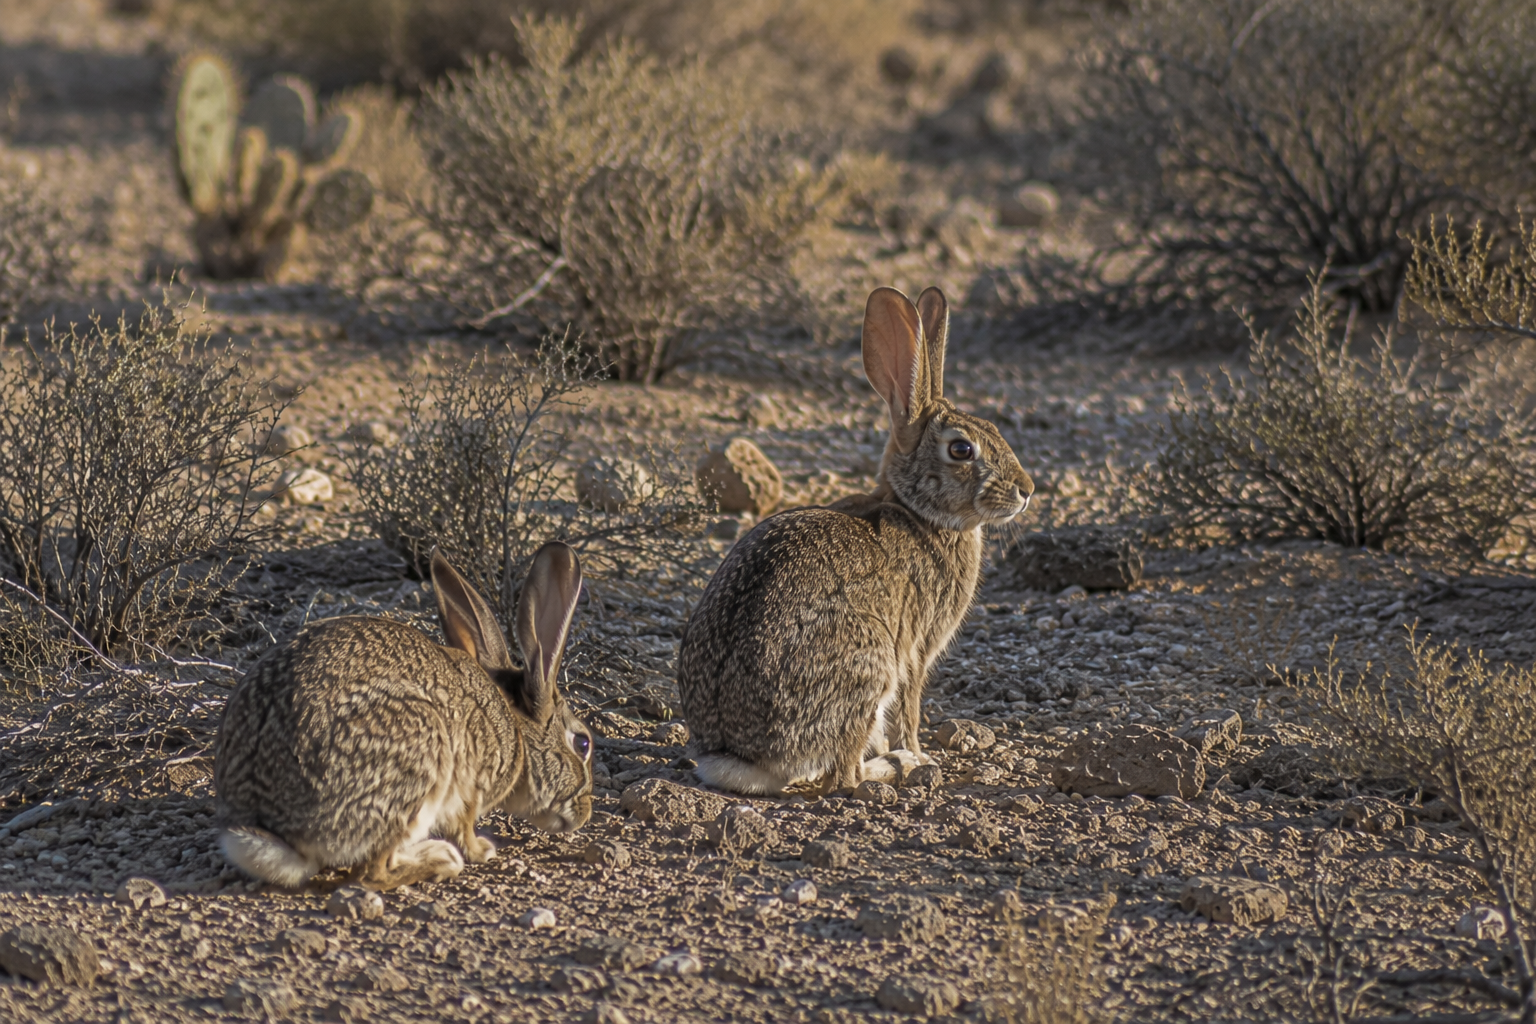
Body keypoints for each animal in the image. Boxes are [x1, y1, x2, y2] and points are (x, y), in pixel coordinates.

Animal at [213, 542, 594, 890]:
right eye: (583, 743)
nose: (585, 814)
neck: (518, 732)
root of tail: (282, 832)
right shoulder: (470, 784)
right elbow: (464, 825)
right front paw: (481, 850)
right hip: (418, 760)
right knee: (371, 874)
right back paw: (440, 860)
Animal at [678, 286, 1033, 795]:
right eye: (962, 449)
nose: (1026, 491)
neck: (919, 511)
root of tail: (738, 755)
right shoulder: (916, 649)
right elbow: (909, 709)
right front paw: (919, 753)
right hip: (869, 665)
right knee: (845, 775)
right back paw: (898, 765)